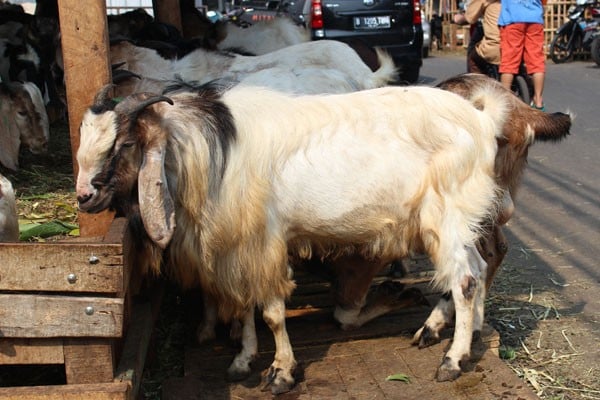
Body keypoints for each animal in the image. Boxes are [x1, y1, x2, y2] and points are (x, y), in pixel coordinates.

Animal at [75, 79, 506, 392]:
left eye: (125, 144)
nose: (83, 196)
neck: (215, 153)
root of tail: (482, 121)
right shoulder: (241, 247)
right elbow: (244, 306)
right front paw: (243, 360)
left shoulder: (266, 241)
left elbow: (271, 312)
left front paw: (280, 371)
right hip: (456, 222)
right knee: (478, 266)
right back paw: (460, 331)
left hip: (445, 214)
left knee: (464, 280)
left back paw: (452, 359)